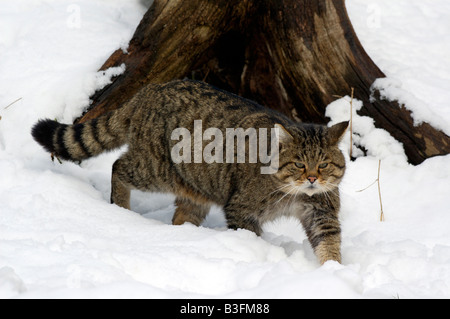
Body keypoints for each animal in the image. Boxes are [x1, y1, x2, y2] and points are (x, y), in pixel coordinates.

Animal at [32, 80, 348, 264]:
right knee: (118, 166)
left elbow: (329, 243)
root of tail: (149, 89)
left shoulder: (321, 213)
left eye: (323, 164)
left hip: (195, 189)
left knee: (181, 217)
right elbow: (251, 236)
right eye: (298, 164)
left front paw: (332, 271)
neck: (294, 193)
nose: (312, 178)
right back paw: (120, 208)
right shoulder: (241, 210)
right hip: (153, 169)